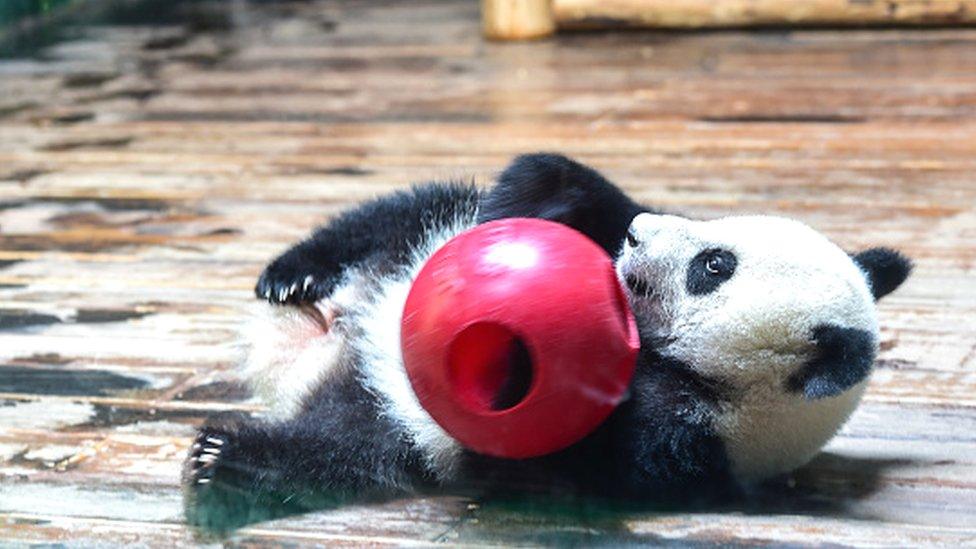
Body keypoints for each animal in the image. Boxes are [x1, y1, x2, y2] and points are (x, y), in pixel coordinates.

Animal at [185, 152, 916, 528]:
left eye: (714, 265)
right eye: (722, 234)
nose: (639, 236)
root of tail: (325, 349)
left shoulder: (672, 445)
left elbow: (530, 425)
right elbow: (568, 186)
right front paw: (540, 200)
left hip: (394, 431)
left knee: (335, 453)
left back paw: (222, 460)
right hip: (410, 233)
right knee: (394, 212)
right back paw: (294, 275)